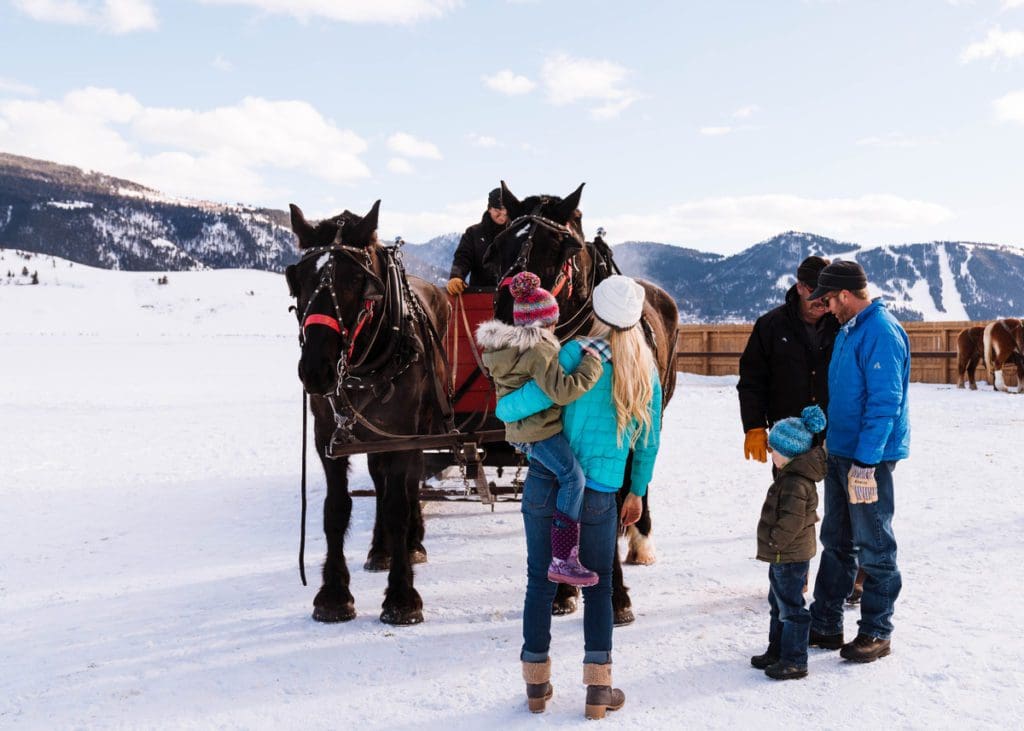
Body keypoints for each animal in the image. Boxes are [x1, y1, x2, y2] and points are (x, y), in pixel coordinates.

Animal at [286, 201, 450, 622]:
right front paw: (333, 594)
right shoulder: (327, 437)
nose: (316, 369)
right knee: (380, 480)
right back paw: (380, 549)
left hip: (421, 428)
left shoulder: (403, 435)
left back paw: (411, 543)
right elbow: (335, 510)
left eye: (357, 280)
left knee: (408, 485)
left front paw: (402, 596)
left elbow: (398, 505)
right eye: (297, 278)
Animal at [487, 181, 679, 622]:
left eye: (564, 248)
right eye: (499, 244)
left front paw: (617, 596)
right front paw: (563, 591)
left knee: (639, 479)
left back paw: (640, 539)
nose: (508, 321)